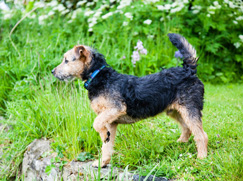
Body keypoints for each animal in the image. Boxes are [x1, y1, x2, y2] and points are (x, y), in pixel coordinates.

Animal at [52, 33, 208, 167]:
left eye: (66, 60)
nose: (53, 71)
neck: (98, 76)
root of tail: (189, 70)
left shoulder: (115, 109)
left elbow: (96, 123)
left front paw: (102, 137)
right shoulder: (110, 122)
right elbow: (106, 146)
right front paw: (103, 162)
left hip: (189, 110)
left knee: (201, 135)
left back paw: (202, 158)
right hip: (175, 111)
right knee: (188, 129)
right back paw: (180, 144)